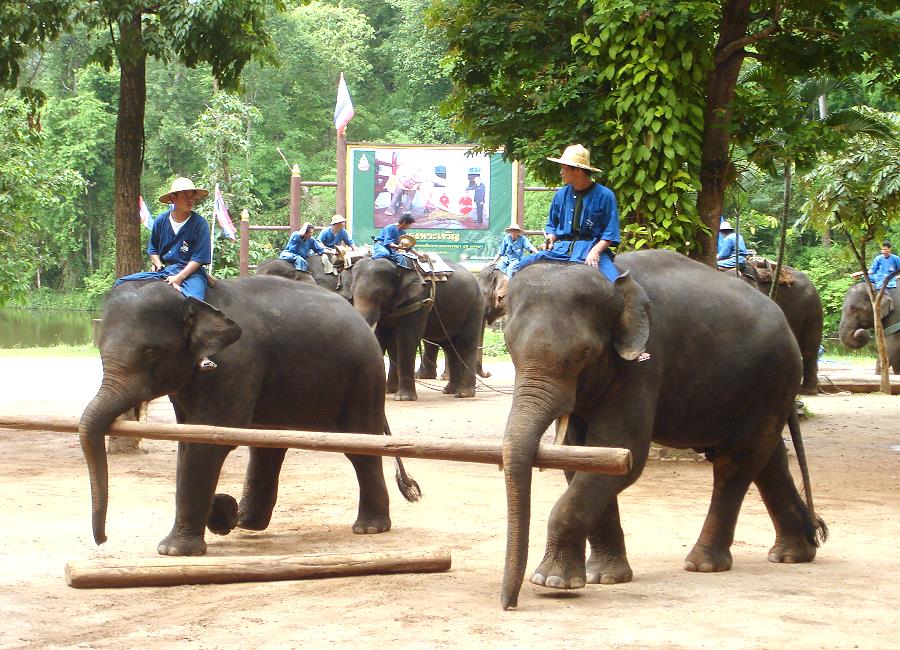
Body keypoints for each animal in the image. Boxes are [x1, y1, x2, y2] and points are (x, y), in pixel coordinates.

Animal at [79, 276, 420, 556]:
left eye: (150, 353)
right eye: (100, 350)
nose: (102, 540)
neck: (193, 302)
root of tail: (359, 318)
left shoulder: (234, 364)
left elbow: (209, 442)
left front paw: (174, 550)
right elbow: (188, 440)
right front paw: (218, 513)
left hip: (364, 375)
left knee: (358, 443)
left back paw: (369, 528)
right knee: (267, 445)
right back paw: (245, 522)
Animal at [345, 256, 484, 400]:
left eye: (379, 294)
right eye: (352, 294)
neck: (398, 266)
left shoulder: (419, 300)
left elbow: (407, 337)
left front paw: (403, 398)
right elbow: (381, 338)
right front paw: (385, 392)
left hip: (475, 306)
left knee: (466, 344)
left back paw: (463, 394)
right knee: (450, 347)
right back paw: (449, 390)